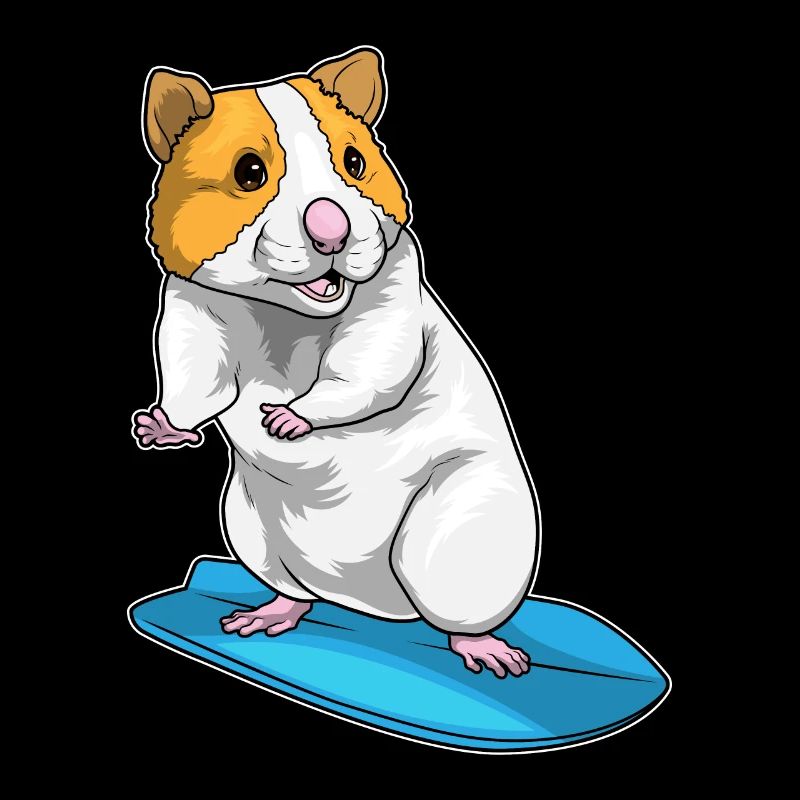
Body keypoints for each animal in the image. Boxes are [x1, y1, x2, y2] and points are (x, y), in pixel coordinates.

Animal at [134, 48, 539, 678]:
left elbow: (369, 370)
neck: (285, 312)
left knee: (460, 604)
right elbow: (198, 378)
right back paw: (269, 614)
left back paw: (486, 650)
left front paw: (289, 418)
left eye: (354, 161)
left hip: (460, 526)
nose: (332, 232)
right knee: (290, 587)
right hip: (248, 526)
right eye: (249, 172)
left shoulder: (391, 295)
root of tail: (369, 603)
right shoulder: (192, 307)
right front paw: (161, 427)